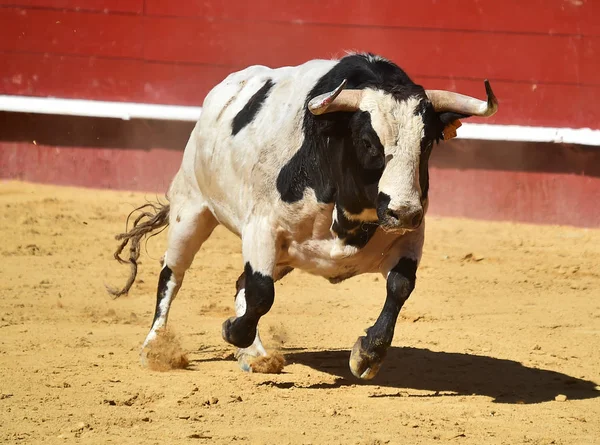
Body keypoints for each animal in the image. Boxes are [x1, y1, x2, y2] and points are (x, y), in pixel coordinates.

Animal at [109, 51, 496, 378]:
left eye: (427, 144)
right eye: (368, 142)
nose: (403, 212)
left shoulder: (411, 236)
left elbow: (399, 287)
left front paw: (367, 355)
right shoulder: (261, 228)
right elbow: (261, 293)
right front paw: (231, 330)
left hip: (280, 254)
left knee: (237, 284)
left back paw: (256, 356)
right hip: (191, 209)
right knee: (172, 274)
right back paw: (156, 347)